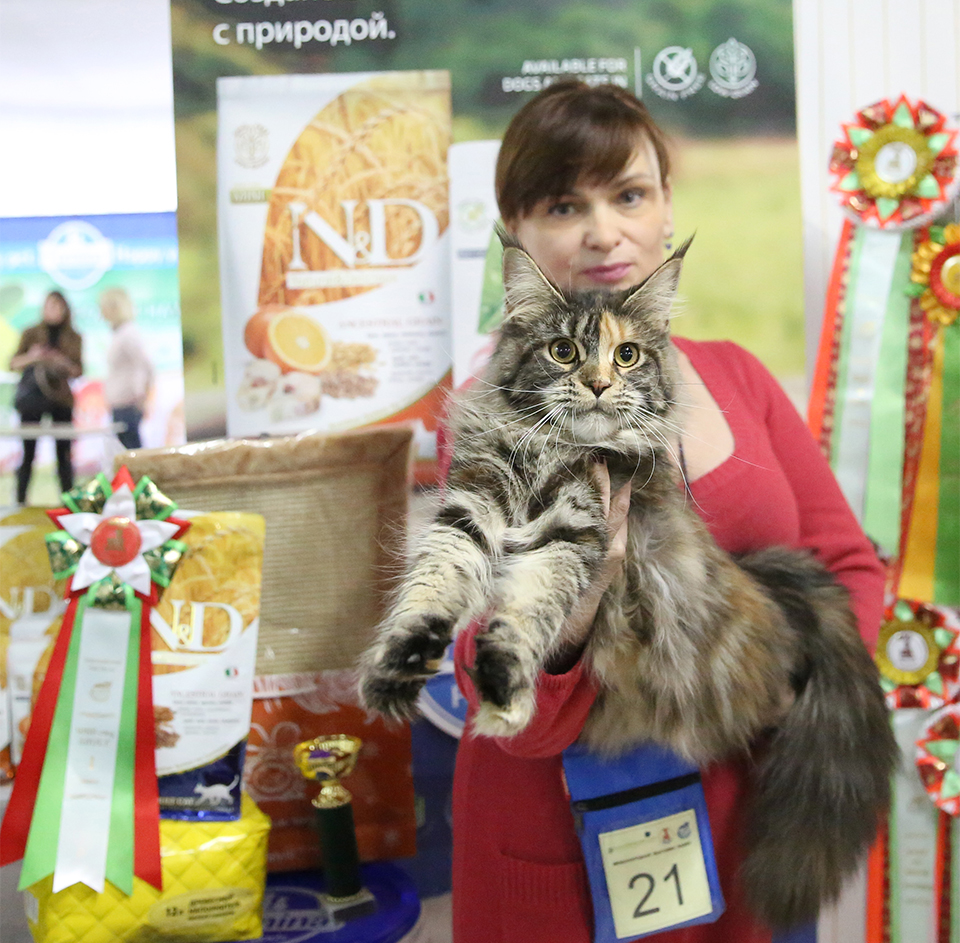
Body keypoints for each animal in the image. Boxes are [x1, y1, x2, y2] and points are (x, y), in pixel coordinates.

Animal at [356, 236, 896, 928]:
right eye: (564, 351)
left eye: (627, 355)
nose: (597, 383)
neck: (551, 455)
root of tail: (776, 589)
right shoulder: (472, 505)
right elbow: (434, 584)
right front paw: (400, 665)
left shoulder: (576, 528)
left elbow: (531, 608)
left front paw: (505, 683)